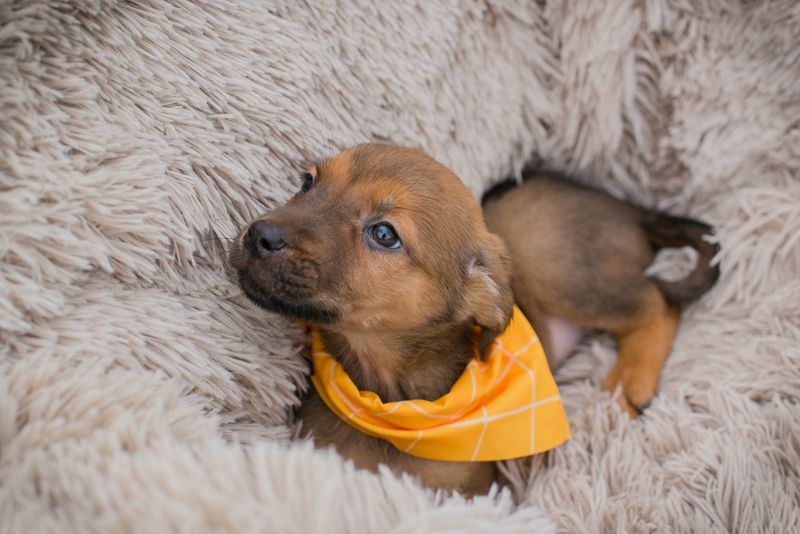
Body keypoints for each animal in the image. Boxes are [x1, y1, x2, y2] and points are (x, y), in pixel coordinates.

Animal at [231, 144, 719, 495]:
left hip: (558, 265)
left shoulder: (471, 493)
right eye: (307, 182)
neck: (389, 397)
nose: (259, 236)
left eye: (384, 234)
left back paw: (630, 382)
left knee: (657, 303)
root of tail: (629, 208)